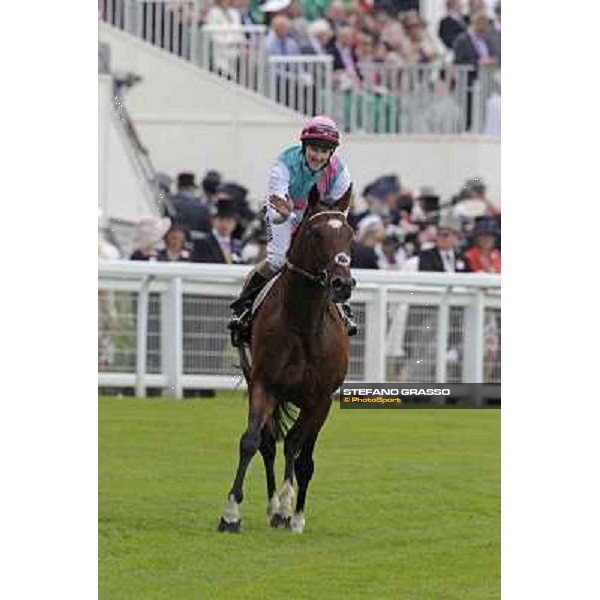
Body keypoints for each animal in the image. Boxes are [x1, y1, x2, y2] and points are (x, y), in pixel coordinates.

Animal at [218, 183, 354, 536]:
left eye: (350, 233)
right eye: (317, 233)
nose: (342, 283)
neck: (303, 324)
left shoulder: (321, 399)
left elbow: (301, 454)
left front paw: (294, 512)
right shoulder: (264, 384)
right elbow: (251, 441)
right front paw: (231, 514)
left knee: (295, 446)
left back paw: (285, 509)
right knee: (268, 443)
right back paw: (271, 508)